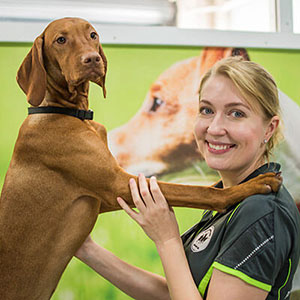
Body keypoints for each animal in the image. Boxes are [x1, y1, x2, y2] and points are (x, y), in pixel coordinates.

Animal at [0, 17, 282, 298]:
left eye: (93, 35)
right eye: (60, 39)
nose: (92, 59)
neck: (65, 112)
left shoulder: (104, 197)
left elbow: (204, 185)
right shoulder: (118, 183)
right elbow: (206, 192)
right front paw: (255, 183)